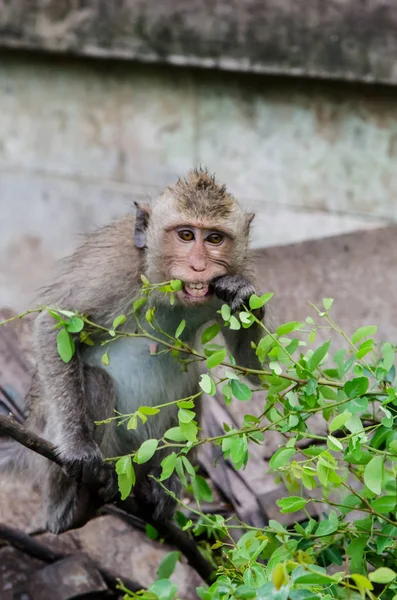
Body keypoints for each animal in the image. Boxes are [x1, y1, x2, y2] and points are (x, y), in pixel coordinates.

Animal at [4, 169, 268, 536]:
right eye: (186, 235)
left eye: (215, 238)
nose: (198, 266)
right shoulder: (114, 269)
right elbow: (54, 325)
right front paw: (79, 448)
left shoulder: (241, 268)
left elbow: (252, 370)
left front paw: (241, 295)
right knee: (97, 382)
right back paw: (69, 508)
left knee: (192, 384)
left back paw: (161, 490)